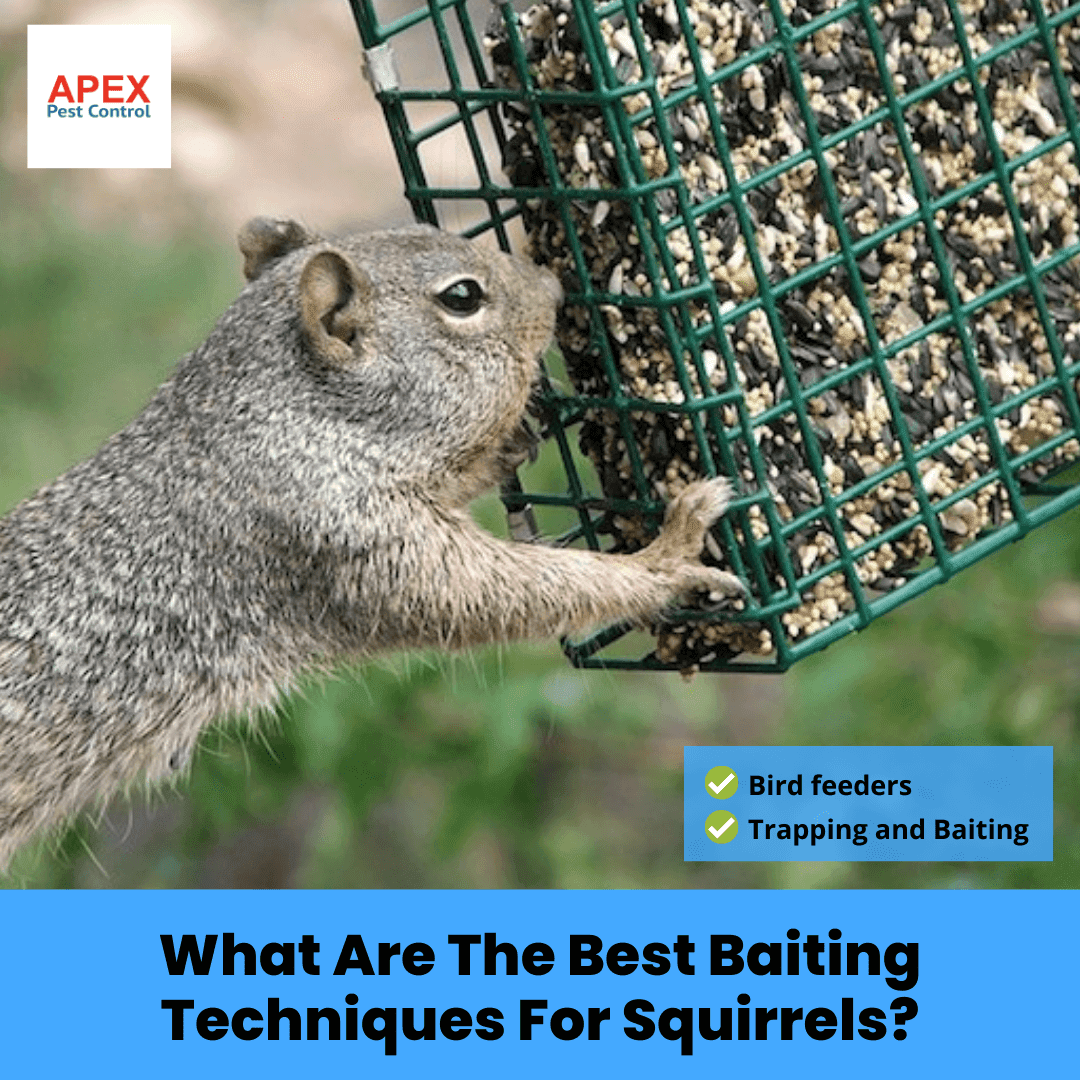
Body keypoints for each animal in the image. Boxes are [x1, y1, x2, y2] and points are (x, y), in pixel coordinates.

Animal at [0, 217, 743, 868]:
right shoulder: (342, 534)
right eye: (461, 298)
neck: (279, 420)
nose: (554, 285)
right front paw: (669, 560)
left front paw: (512, 440)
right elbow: (501, 592)